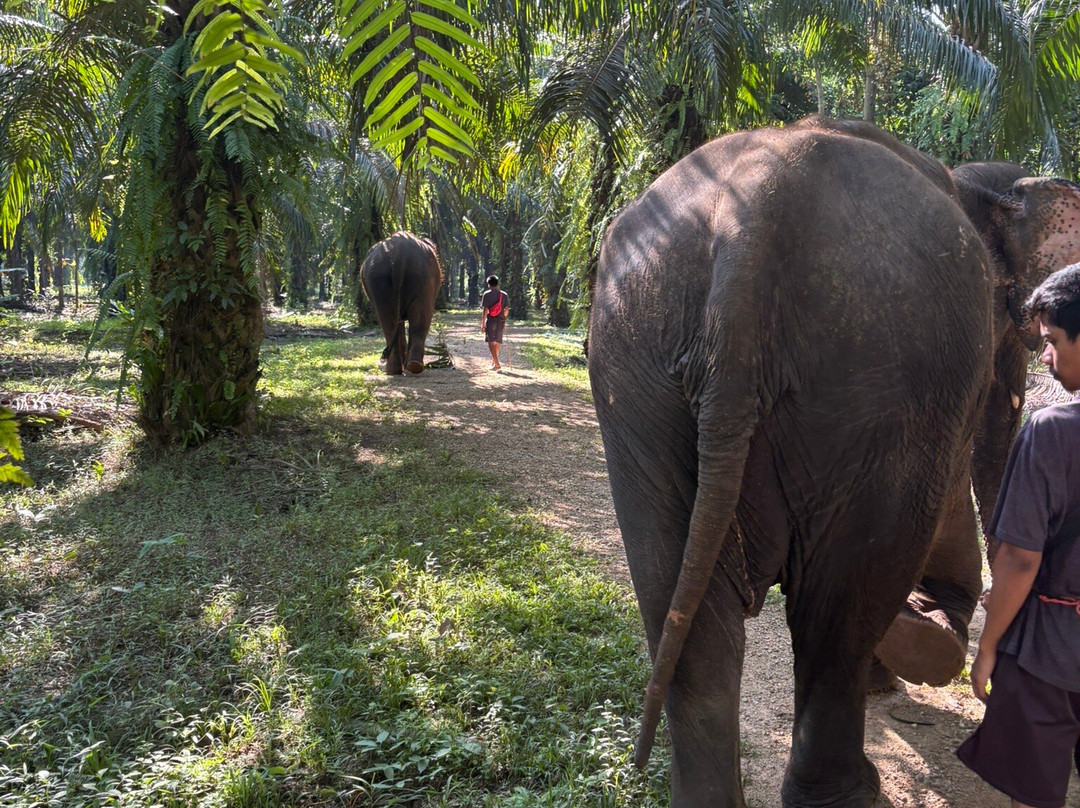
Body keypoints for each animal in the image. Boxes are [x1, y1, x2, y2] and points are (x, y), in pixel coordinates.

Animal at [359, 232, 443, 375]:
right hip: (413, 276)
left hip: (386, 277)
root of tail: (399, 254)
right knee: (414, 319)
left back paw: (397, 369)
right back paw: (409, 367)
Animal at [587, 116, 1080, 808]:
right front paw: (922, 642)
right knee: (840, 607)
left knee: (681, 600)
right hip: (879, 363)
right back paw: (859, 771)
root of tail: (752, 220)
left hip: (638, 357)